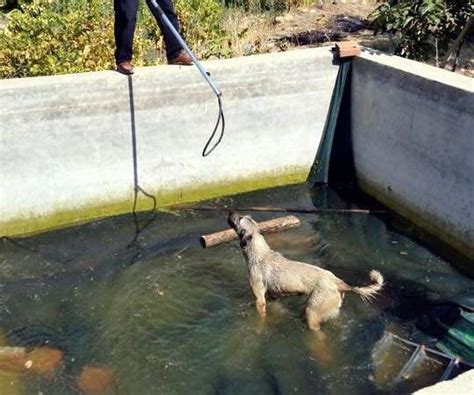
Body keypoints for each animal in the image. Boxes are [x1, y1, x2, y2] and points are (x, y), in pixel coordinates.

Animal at [228, 213, 384, 332]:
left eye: (239, 219)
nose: (230, 211)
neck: (259, 254)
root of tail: (340, 283)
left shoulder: (260, 299)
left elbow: (261, 315)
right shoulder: (273, 297)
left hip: (312, 313)